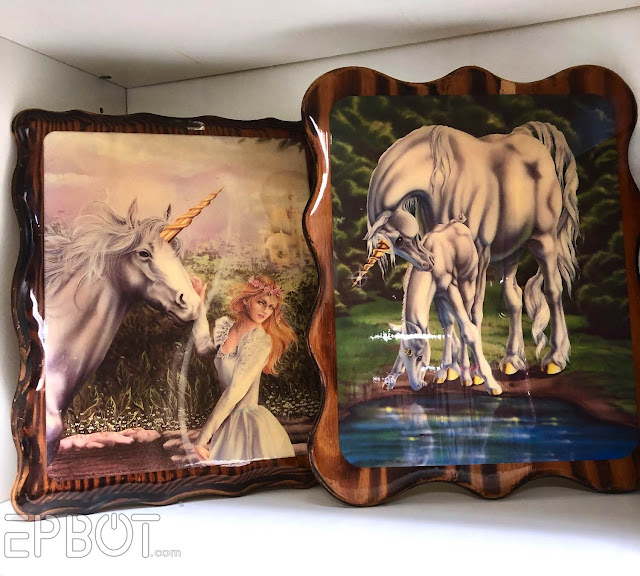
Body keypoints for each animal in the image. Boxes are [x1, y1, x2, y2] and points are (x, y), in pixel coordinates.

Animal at [356, 121, 579, 377]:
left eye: (400, 240)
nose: (426, 262)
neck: (441, 180)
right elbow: (448, 314)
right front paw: (450, 370)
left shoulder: (478, 254)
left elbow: (472, 308)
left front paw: (474, 373)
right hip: (508, 254)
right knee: (514, 298)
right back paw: (512, 359)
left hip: (544, 240)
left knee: (553, 291)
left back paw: (556, 358)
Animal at [382, 219, 502, 396]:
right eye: (403, 357)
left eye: (419, 357)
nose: (416, 385)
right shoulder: (438, 295)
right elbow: (447, 324)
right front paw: (390, 379)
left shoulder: (450, 288)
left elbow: (468, 331)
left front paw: (492, 384)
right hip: (443, 298)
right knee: (450, 322)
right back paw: (447, 371)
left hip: (467, 283)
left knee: (468, 318)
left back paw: (466, 375)